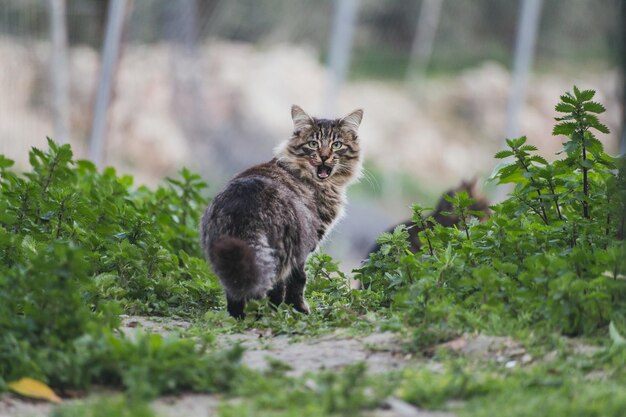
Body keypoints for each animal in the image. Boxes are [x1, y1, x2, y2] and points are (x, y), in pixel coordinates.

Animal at [201, 105, 360, 316]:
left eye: (336, 145)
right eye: (313, 143)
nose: (325, 156)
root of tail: (242, 205)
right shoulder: (306, 246)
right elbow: (298, 280)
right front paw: (300, 309)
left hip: (224, 255)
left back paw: (239, 315)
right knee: (271, 287)